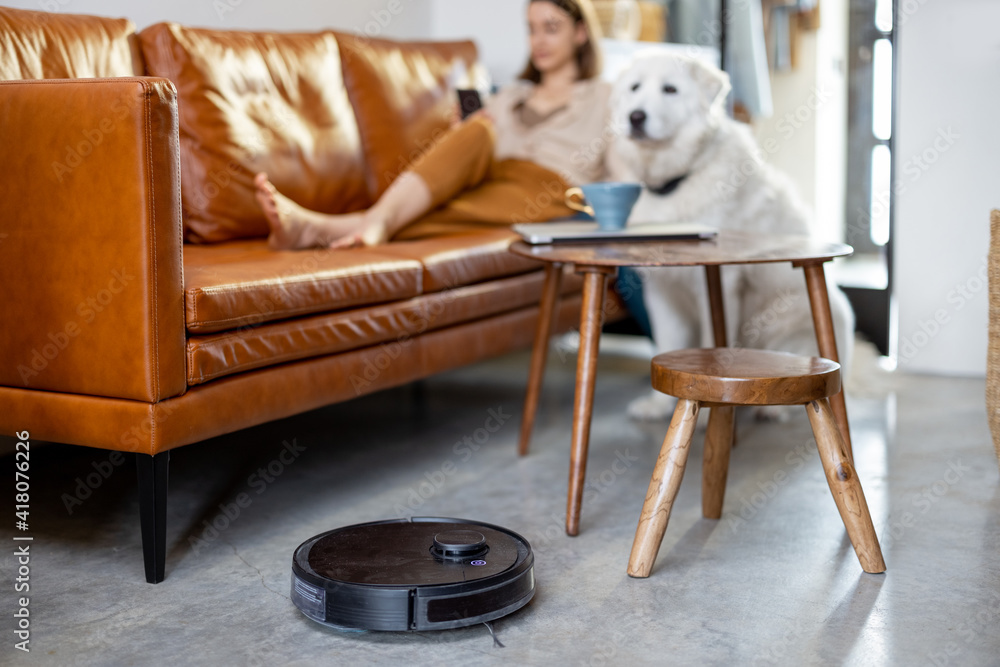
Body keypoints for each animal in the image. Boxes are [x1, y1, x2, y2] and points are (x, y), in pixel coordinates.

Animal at [604, 52, 856, 420]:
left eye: (670, 89)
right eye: (634, 88)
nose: (635, 117)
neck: (679, 179)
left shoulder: (720, 282)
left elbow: (713, 351)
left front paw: (712, 410)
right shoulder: (663, 290)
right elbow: (667, 342)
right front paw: (660, 405)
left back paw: (773, 411)